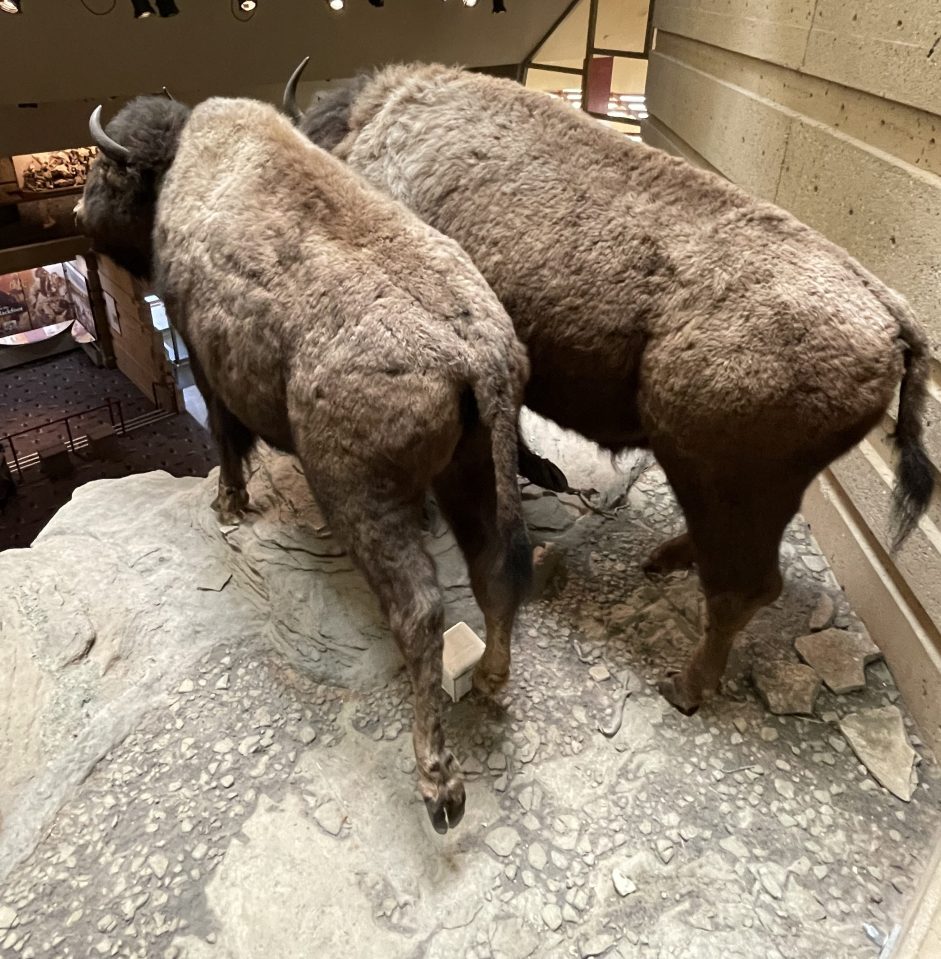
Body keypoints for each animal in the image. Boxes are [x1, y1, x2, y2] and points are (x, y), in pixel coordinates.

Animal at [77, 94, 533, 832]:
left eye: (103, 170)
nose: (77, 213)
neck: (184, 163)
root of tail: (478, 353)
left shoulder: (200, 354)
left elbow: (223, 435)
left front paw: (229, 503)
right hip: (470, 474)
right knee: (495, 570)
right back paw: (492, 682)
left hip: (363, 497)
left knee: (421, 613)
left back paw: (439, 786)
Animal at [286, 60, 934, 715]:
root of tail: (888, 311)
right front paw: (541, 472)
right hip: (756, 490)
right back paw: (664, 560)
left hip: (719, 477)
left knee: (743, 588)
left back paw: (686, 686)